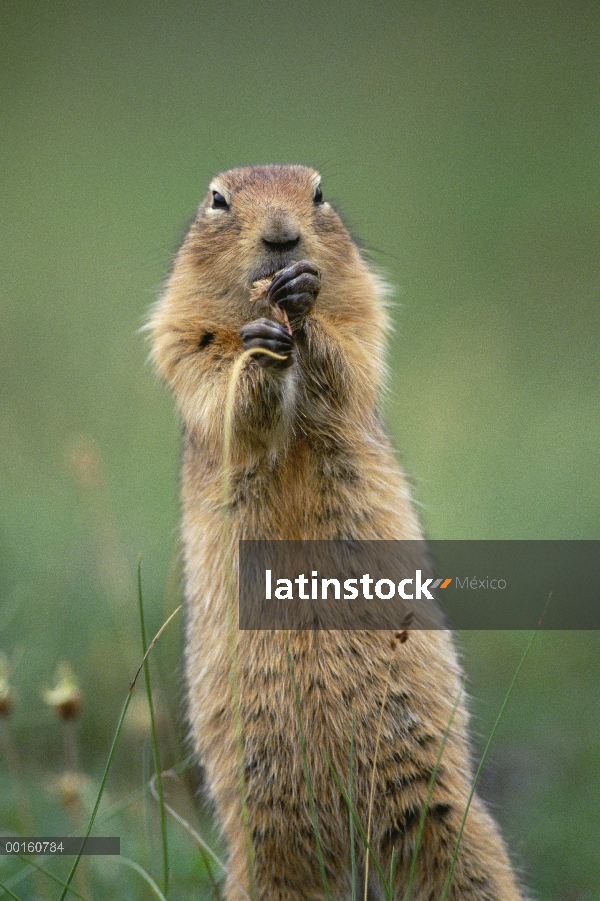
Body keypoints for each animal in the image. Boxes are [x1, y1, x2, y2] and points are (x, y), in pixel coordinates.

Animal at [150, 163, 524, 900]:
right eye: (218, 199)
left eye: (317, 193)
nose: (282, 237)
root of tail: (345, 836)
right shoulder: (181, 333)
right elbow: (217, 391)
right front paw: (260, 359)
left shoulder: (364, 311)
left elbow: (350, 355)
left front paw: (305, 306)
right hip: (262, 850)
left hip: (450, 824)